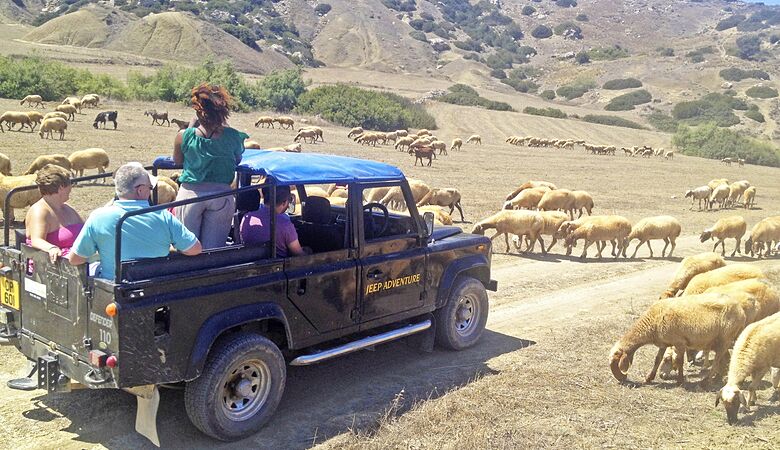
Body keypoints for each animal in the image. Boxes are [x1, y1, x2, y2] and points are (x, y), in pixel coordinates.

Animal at [608, 294, 748, 384]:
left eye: (616, 363)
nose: (621, 379)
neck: (652, 322)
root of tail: (741, 311)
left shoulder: (679, 342)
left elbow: (680, 361)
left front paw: (680, 380)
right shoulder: (663, 343)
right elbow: (657, 360)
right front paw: (649, 378)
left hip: (725, 338)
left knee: (717, 360)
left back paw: (706, 381)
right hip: (720, 340)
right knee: (725, 358)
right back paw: (717, 378)